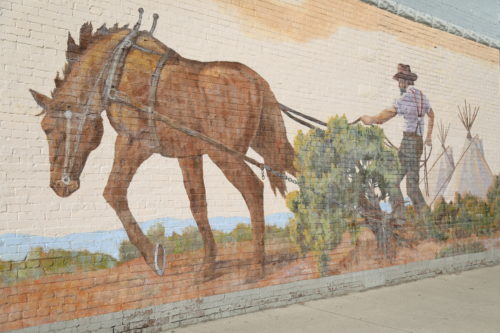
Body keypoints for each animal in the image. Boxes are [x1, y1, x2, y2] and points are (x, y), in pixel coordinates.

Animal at [30, 14, 296, 280]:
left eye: (48, 128)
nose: (58, 185)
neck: (113, 71)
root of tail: (258, 81)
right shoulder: (188, 154)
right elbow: (197, 204)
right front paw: (208, 264)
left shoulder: (134, 142)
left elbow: (114, 193)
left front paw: (154, 256)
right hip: (267, 144)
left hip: (225, 154)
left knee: (253, 189)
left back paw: (258, 265)